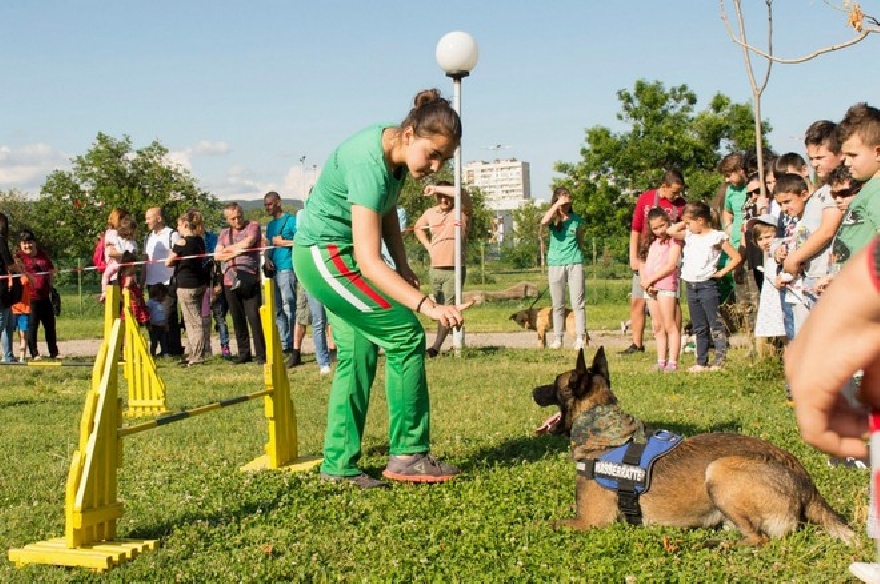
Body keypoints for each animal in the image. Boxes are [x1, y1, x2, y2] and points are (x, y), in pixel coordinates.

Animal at [532, 344, 856, 544]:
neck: (604, 427)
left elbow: (546, 523)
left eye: (555, 383)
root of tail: (807, 484)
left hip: (720, 471)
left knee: (759, 539)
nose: (533, 390)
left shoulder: (589, 521)